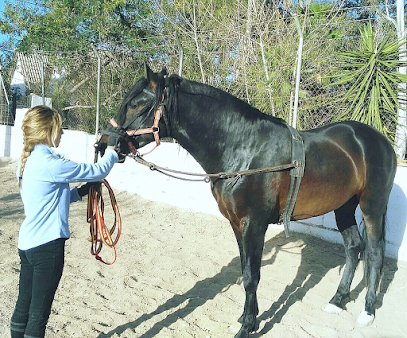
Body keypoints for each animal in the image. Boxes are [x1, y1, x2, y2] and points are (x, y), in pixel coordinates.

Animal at [110, 64, 396, 336]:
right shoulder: (238, 225)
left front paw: (247, 326)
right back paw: (337, 300)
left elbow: (252, 276)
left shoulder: (254, 224)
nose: (108, 141)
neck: (243, 149)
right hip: (343, 207)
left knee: (374, 253)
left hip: (372, 206)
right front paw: (247, 319)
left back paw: (367, 311)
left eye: (135, 103)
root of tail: (379, 140)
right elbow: (245, 270)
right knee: (353, 247)